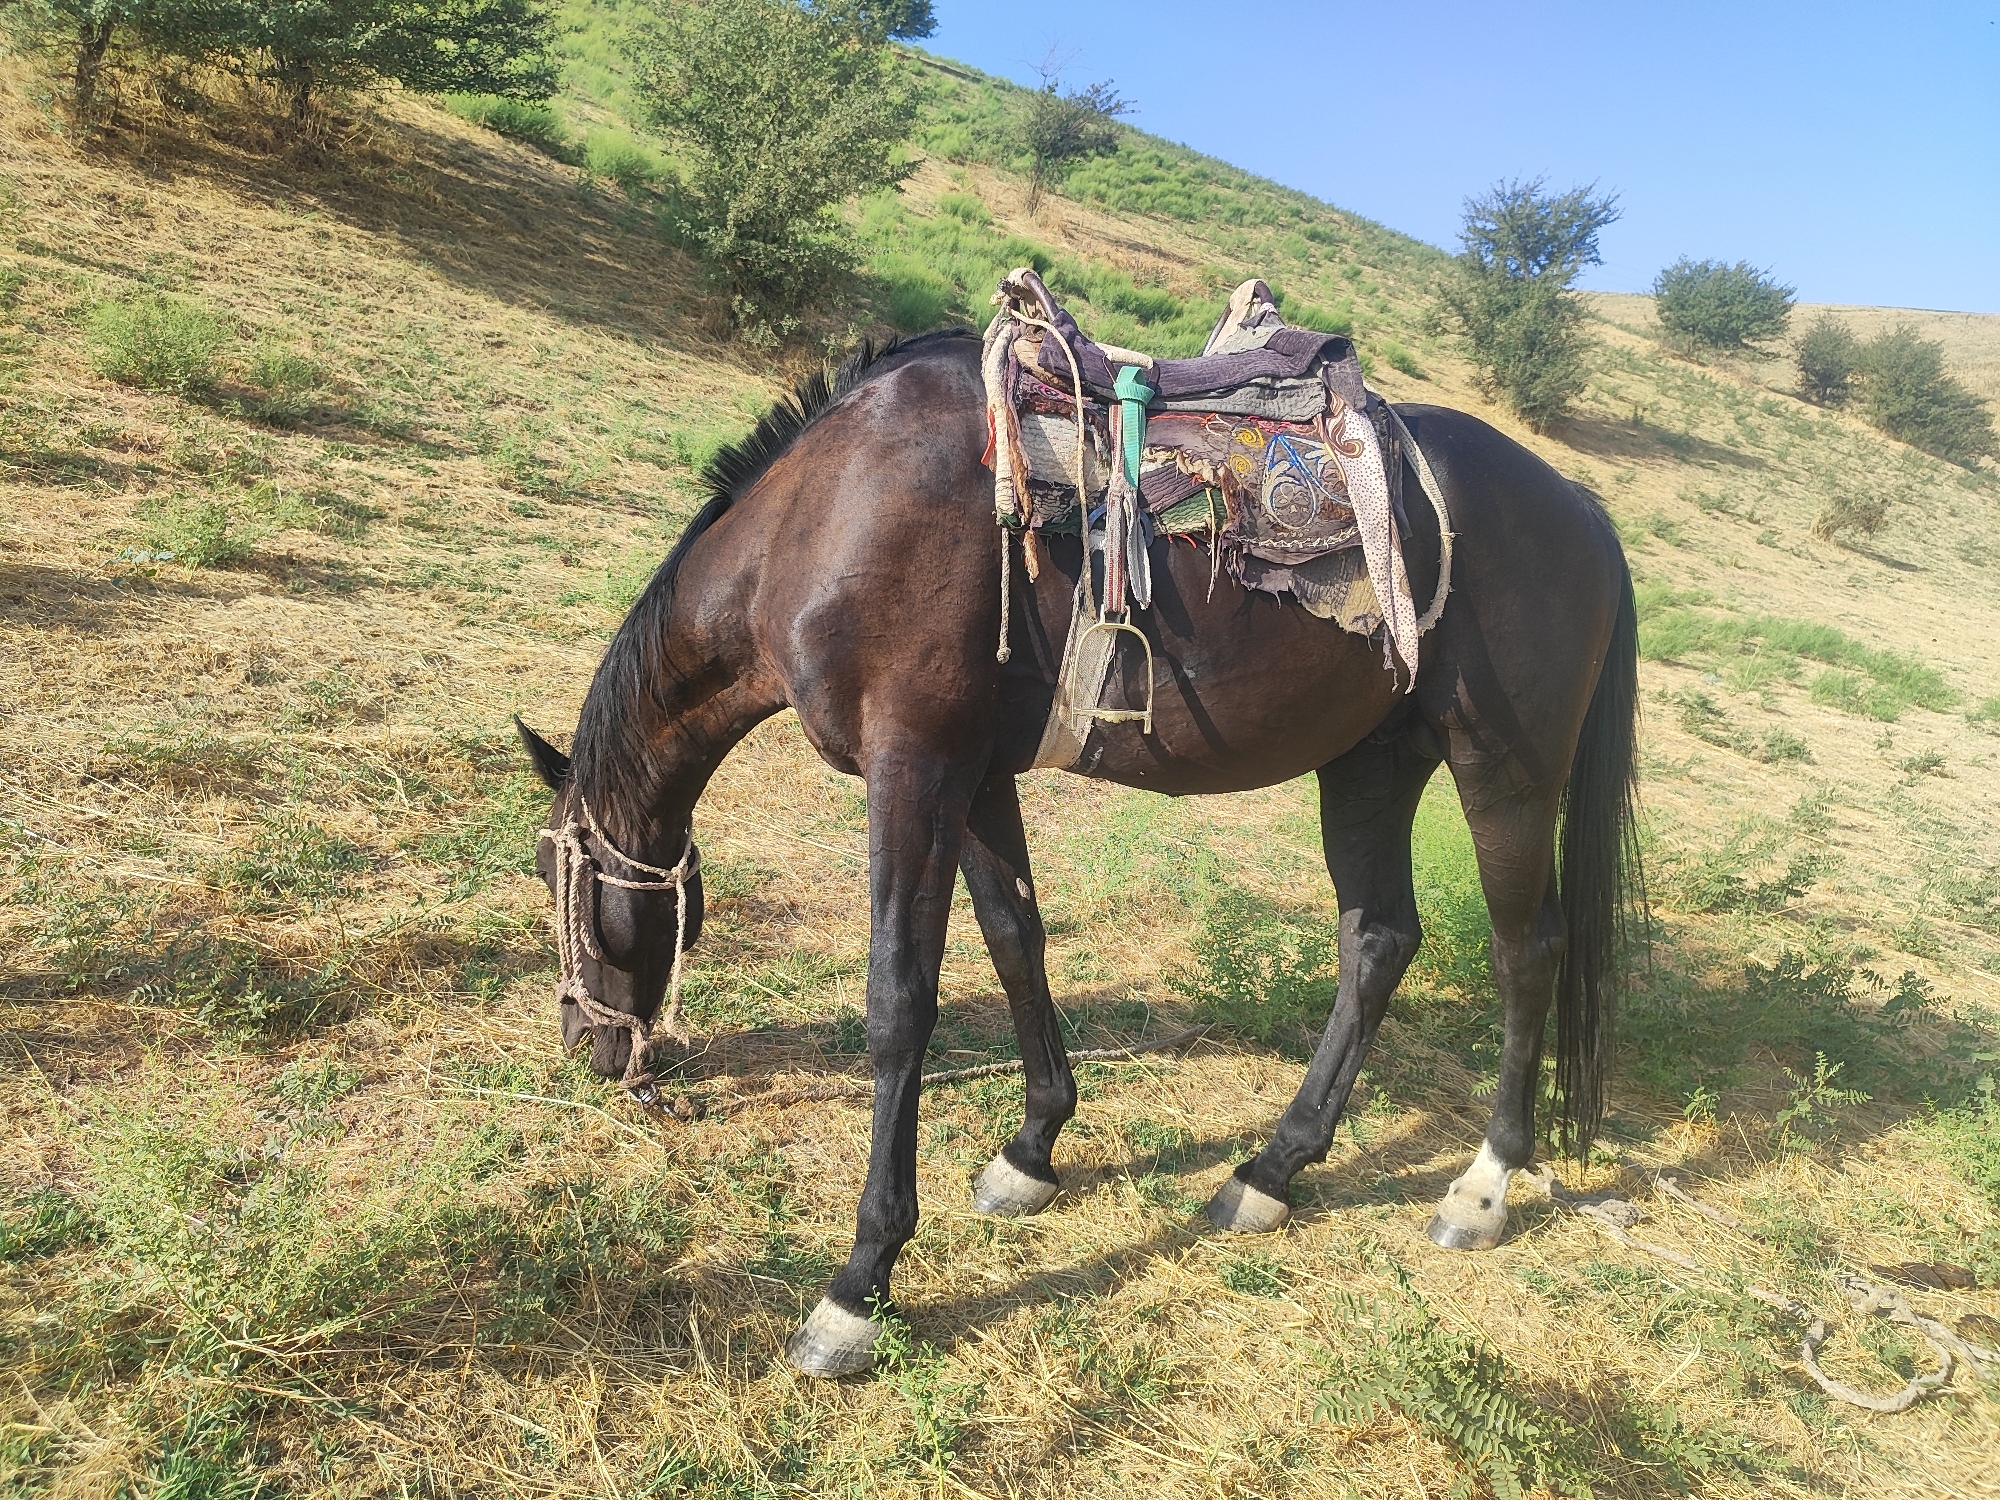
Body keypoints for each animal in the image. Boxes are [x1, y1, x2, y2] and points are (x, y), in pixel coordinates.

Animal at [514, 327, 1640, 1379]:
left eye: (556, 880)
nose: (586, 1043)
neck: (827, 511)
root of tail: (1580, 507)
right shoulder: (974, 777)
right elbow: (1016, 940)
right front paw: (1033, 1149)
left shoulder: (913, 767)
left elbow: (899, 1003)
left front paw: (861, 1283)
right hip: (1370, 762)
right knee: (1377, 941)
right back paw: (1270, 1172)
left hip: (1502, 770)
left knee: (1525, 952)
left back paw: (1483, 1186)